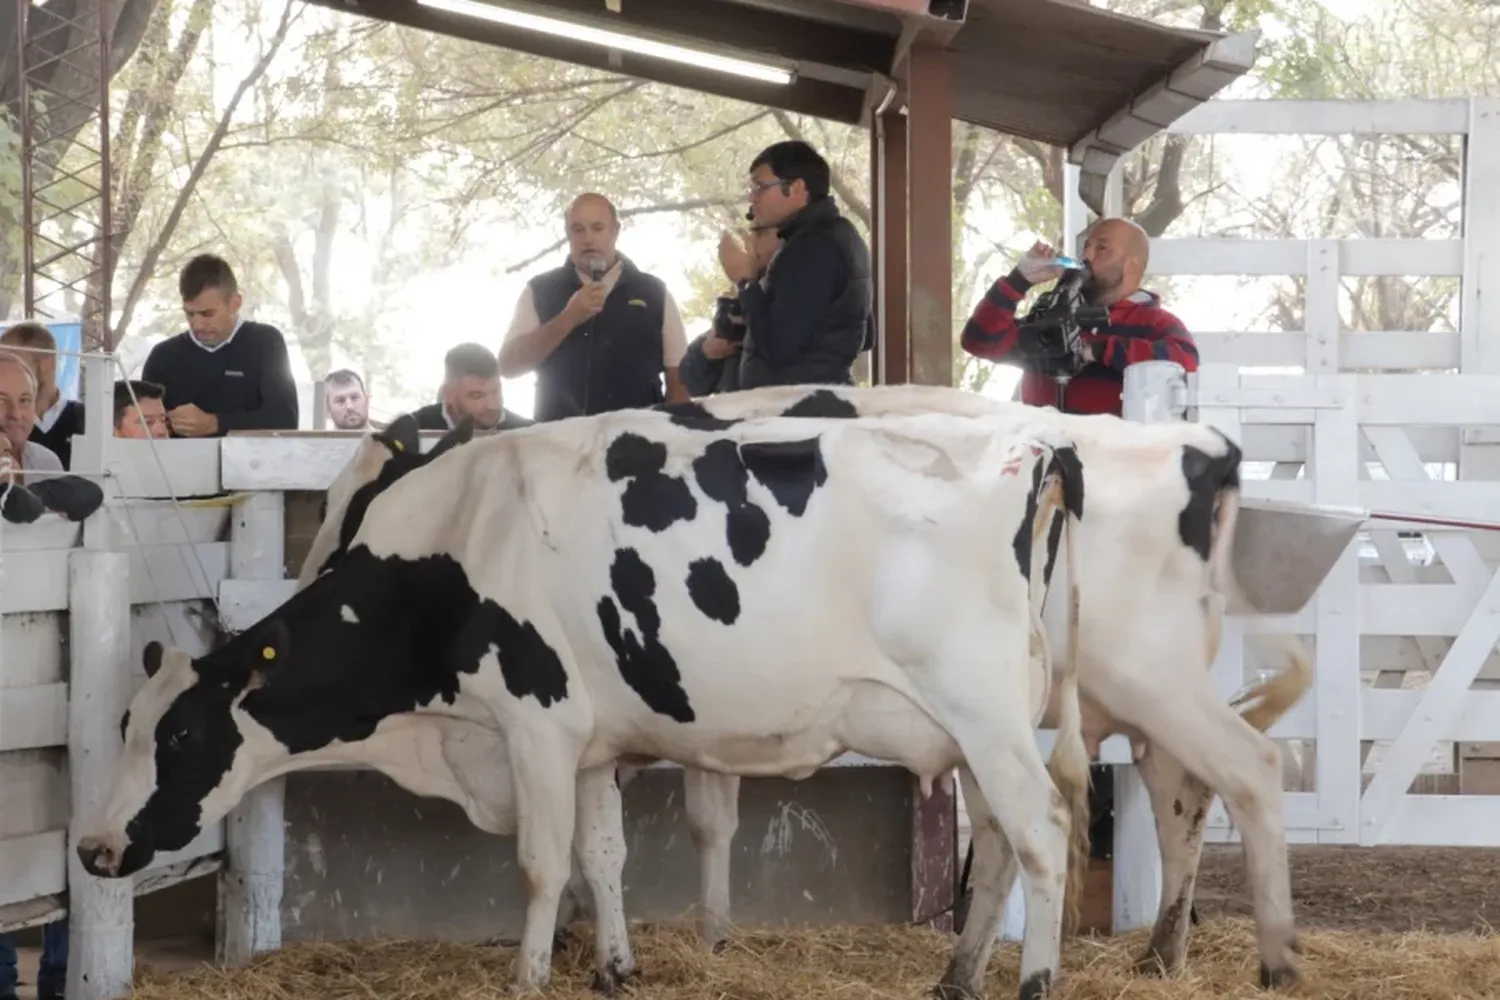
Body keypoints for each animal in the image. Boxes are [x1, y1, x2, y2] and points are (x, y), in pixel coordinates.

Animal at [79, 401, 1092, 1000]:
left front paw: (528, 974)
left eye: (179, 733)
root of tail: (1035, 450)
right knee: (999, 845)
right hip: (974, 733)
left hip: (986, 717)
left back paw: (1036, 980)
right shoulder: (595, 744)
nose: (93, 849)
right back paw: (958, 977)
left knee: (1043, 833)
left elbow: (538, 862)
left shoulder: (538, 724)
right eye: (122, 723)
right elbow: (601, 857)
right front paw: (613, 966)